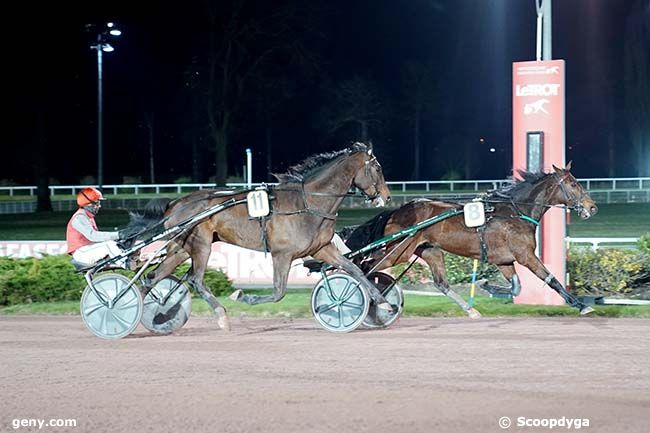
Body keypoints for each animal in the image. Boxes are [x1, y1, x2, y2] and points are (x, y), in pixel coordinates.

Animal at [129, 142, 388, 328]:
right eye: (377, 168)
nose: (386, 196)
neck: (307, 204)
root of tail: (175, 203)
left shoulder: (322, 248)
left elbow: (355, 270)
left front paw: (383, 303)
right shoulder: (282, 254)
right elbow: (278, 292)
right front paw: (242, 296)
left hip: (181, 248)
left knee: (153, 277)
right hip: (201, 244)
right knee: (195, 279)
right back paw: (221, 316)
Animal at [342, 164, 600, 316]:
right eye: (573, 184)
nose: (592, 207)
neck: (514, 211)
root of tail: (397, 211)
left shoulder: (504, 261)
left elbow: (516, 287)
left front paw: (487, 286)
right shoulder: (526, 256)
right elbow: (551, 279)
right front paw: (581, 305)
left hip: (429, 250)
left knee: (442, 284)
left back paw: (470, 310)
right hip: (397, 251)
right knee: (364, 266)